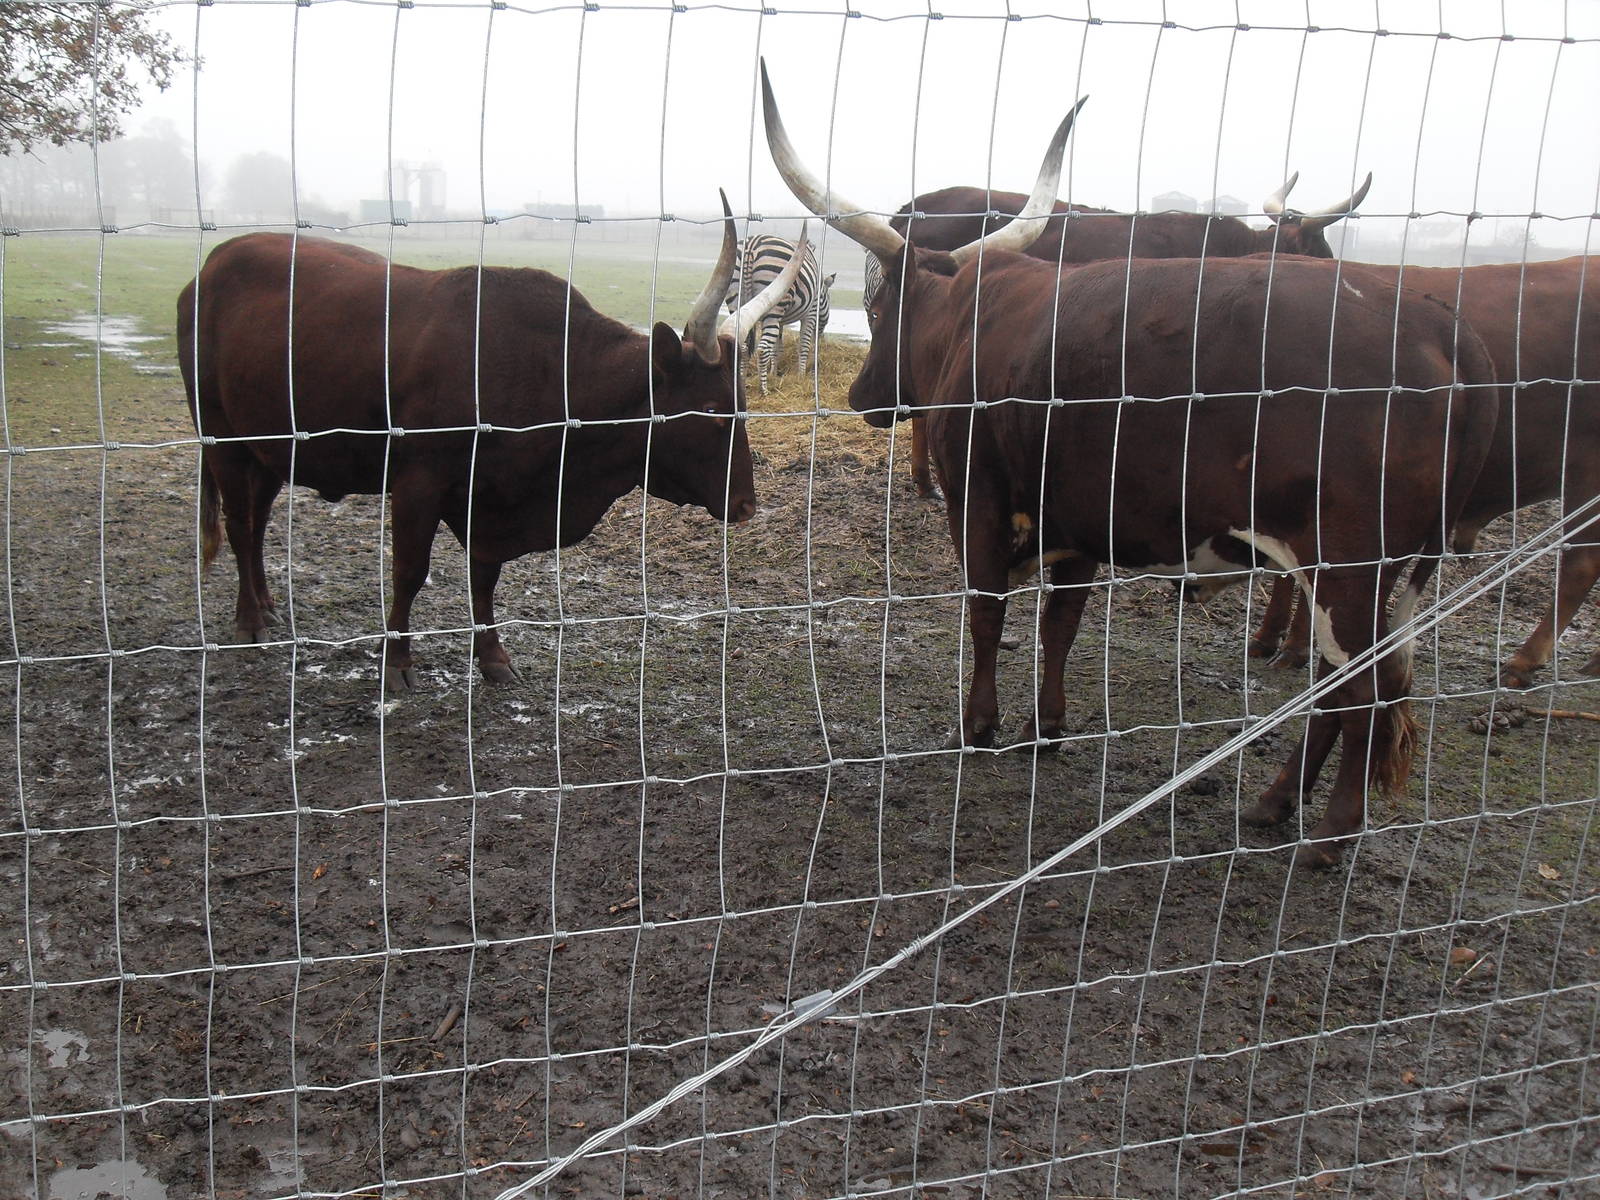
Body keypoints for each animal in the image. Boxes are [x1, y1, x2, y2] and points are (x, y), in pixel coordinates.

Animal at [178, 200, 804, 693]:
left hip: (267, 450)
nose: (746, 505)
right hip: (223, 438)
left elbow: (485, 575)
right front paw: (397, 661)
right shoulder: (418, 483)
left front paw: (494, 658)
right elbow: (410, 570)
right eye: (712, 412)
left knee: (257, 521)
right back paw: (250, 621)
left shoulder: (491, 495)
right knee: (240, 525)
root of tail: (209, 268)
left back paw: (264, 604)